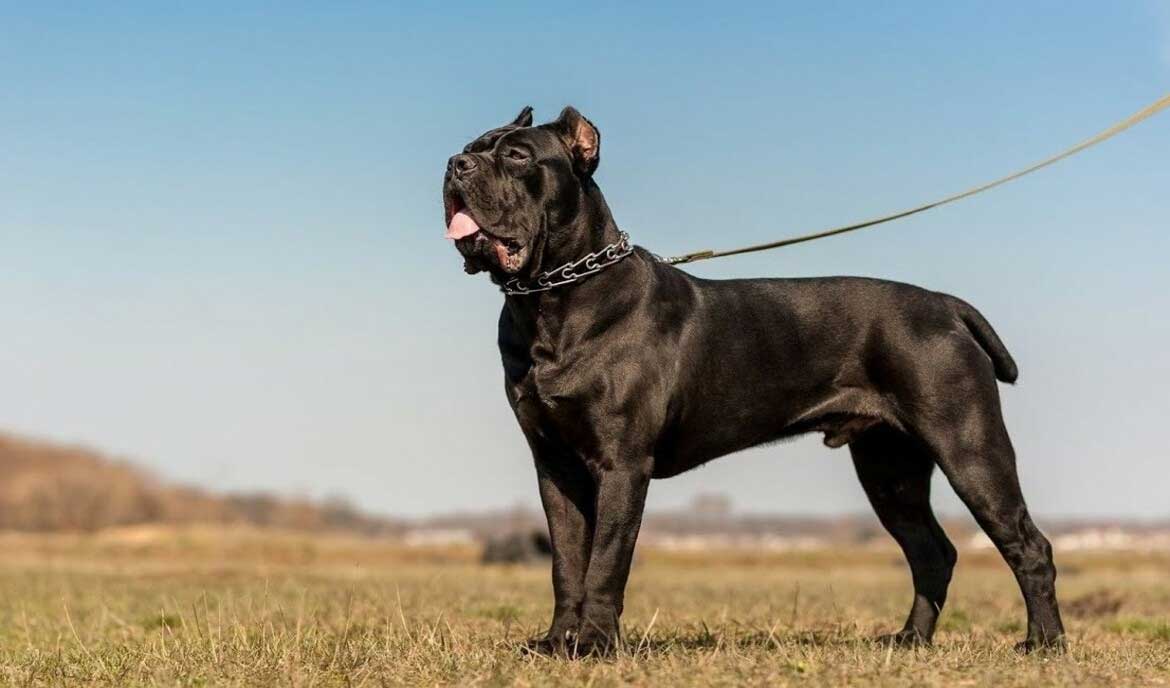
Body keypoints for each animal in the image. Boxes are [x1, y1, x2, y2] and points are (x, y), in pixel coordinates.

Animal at [442, 105, 1067, 655]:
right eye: (472, 146)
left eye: (518, 155)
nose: (455, 163)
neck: (553, 298)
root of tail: (945, 304)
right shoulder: (556, 465)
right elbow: (567, 563)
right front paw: (556, 643)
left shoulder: (621, 463)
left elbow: (605, 563)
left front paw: (594, 644)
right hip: (890, 468)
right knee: (931, 552)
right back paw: (910, 639)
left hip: (969, 447)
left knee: (1027, 544)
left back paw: (1044, 643)